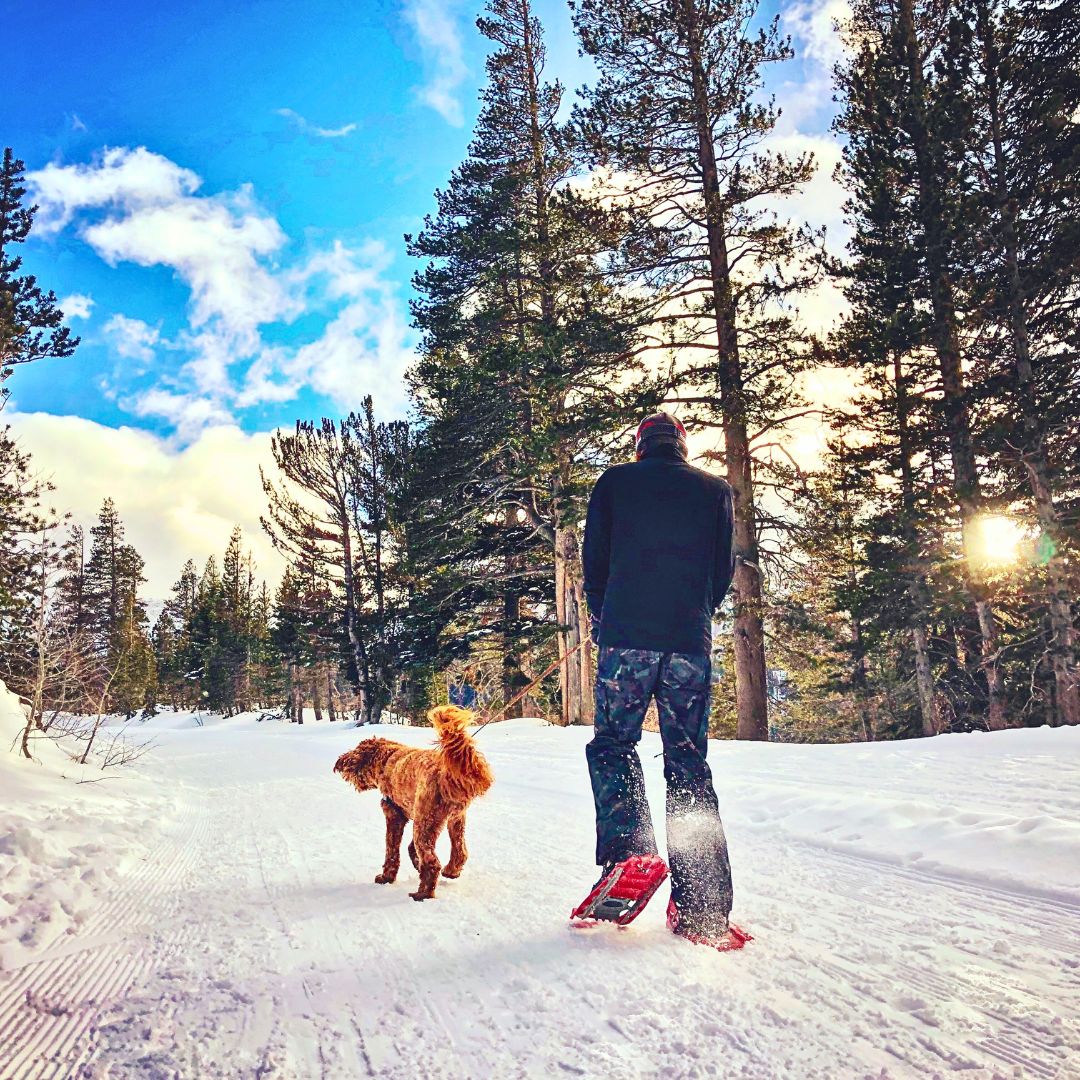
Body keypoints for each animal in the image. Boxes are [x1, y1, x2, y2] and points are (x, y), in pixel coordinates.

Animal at [330, 704, 494, 898]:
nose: (340, 763)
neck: (386, 758)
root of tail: (446, 773)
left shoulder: (394, 815)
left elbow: (392, 851)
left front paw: (386, 877)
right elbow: (410, 848)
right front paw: (416, 864)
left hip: (426, 822)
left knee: (432, 863)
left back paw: (422, 894)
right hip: (453, 820)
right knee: (460, 852)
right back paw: (450, 871)